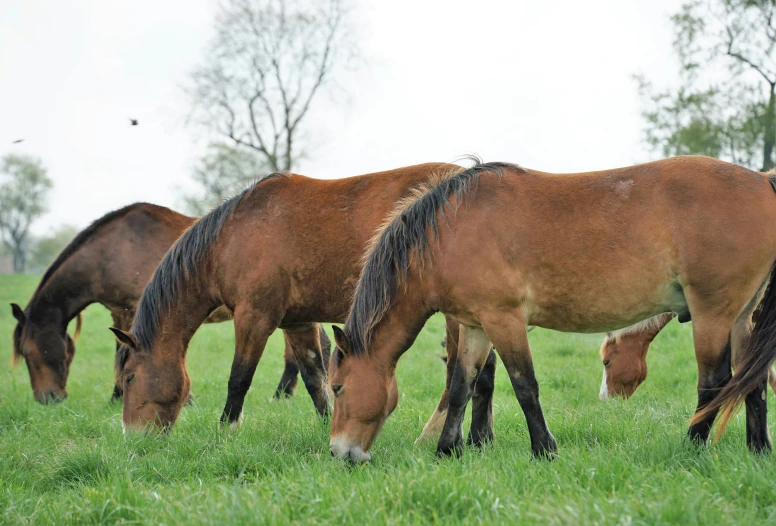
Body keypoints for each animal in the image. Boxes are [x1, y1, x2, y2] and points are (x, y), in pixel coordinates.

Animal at [8, 203, 322, 404]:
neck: (112, 252)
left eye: (28, 352)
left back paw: (282, 395)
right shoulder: (121, 313)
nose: (48, 399)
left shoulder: (134, 311)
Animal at [113, 163, 500, 436]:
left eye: (129, 378)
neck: (231, 237)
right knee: (484, 372)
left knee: (462, 373)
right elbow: (315, 379)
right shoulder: (296, 323)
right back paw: (480, 439)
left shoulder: (254, 318)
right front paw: (329, 423)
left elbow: (239, 378)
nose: (132, 436)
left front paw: (226, 429)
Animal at [330, 156, 776, 462]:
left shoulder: (504, 319)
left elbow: (524, 386)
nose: (338, 452)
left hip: (712, 314)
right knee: (750, 381)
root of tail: (761, 180)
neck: (451, 230)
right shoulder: (475, 325)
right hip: (740, 317)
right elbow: (460, 388)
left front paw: (544, 449)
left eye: (337, 387)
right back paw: (758, 450)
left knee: (714, 383)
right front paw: (446, 451)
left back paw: (691, 447)